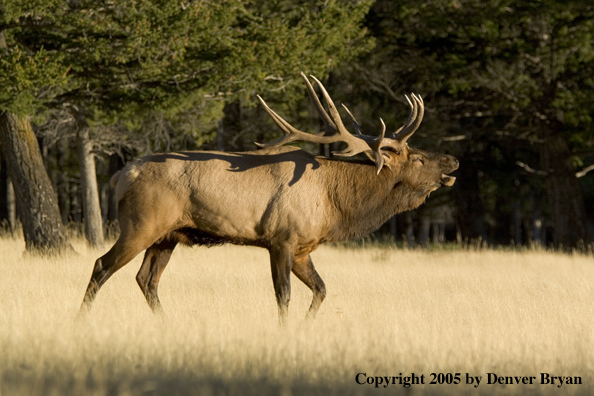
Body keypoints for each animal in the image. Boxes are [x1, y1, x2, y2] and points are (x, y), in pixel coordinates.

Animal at [78, 72, 458, 324]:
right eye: (417, 158)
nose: (452, 161)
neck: (335, 204)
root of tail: (119, 176)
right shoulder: (281, 238)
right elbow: (283, 294)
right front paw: (286, 329)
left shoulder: (303, 248)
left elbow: (321, 289)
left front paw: (305, 326)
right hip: (140, 225)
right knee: (101, 265)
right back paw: (81, 319)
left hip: (167, 236)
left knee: (147, 279)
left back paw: (166, 323)